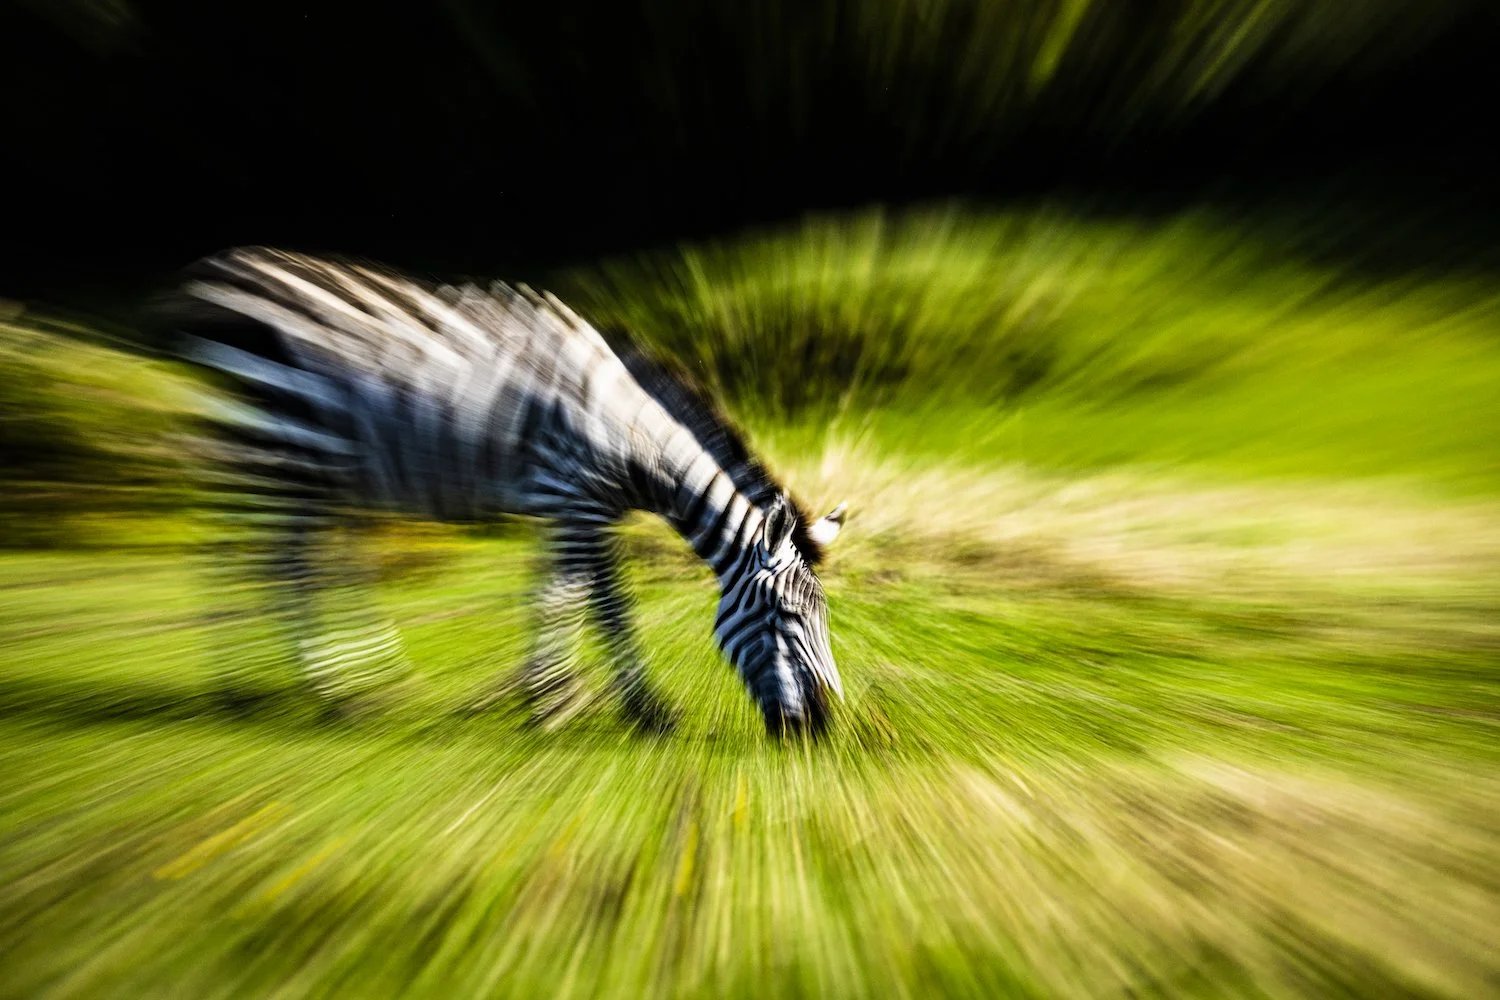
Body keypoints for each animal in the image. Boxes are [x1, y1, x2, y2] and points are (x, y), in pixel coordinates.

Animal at [161, 247, 847, 736]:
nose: (818, 728)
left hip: (314, 466)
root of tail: (222, 270)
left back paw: (359, 682)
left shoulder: (584, 510)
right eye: (786, 617)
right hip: (273, 443)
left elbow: (593, 604)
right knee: (259, 561)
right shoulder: (571, 497)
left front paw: (618, 705)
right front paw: (560, 705)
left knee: (304, 564)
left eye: (821, 618)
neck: (631, 434)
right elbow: (575, 602)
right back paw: (273, 689)